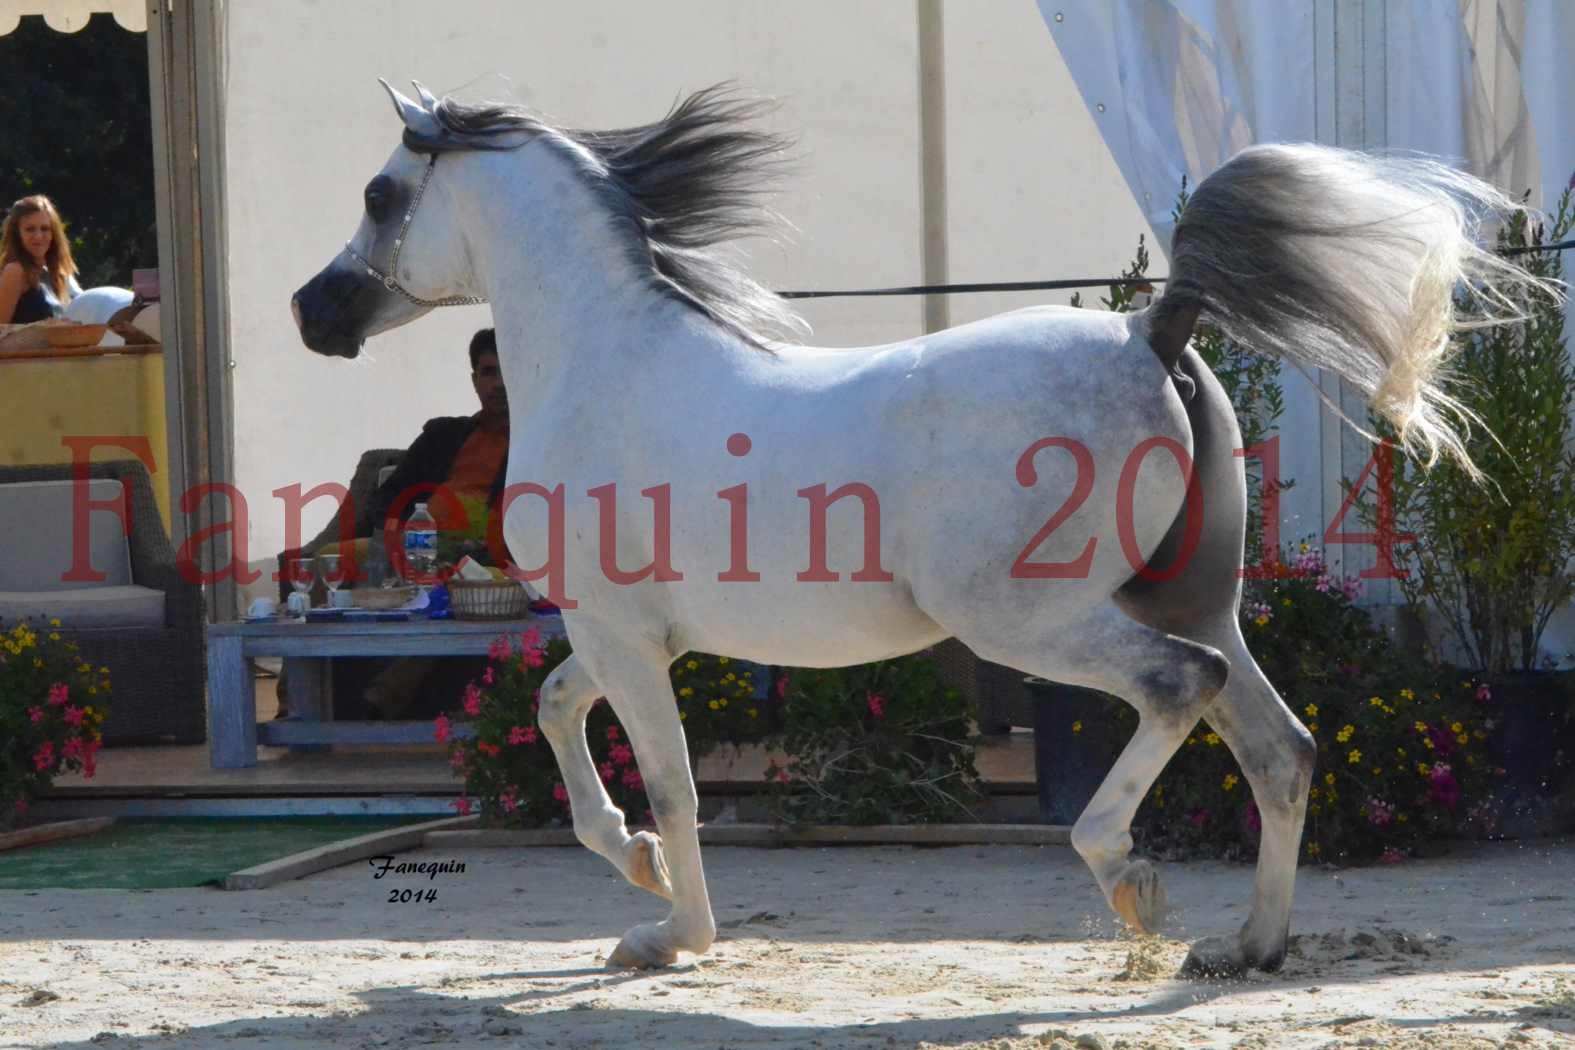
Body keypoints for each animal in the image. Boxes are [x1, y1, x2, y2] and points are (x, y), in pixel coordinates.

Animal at [296, 82, 1549, 976]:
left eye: (378, 194)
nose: (314, 313)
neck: (608, 363)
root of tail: (1152, 329)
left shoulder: (621, 636)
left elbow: (667, 781)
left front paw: (671, 936)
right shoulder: (622, 637)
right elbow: (558, 717)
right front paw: (644, 880)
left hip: (1029, 622)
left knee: (1179, 691)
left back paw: (1130, 881)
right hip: (1195, 602)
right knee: (1279, 748)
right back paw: (1247, 948)